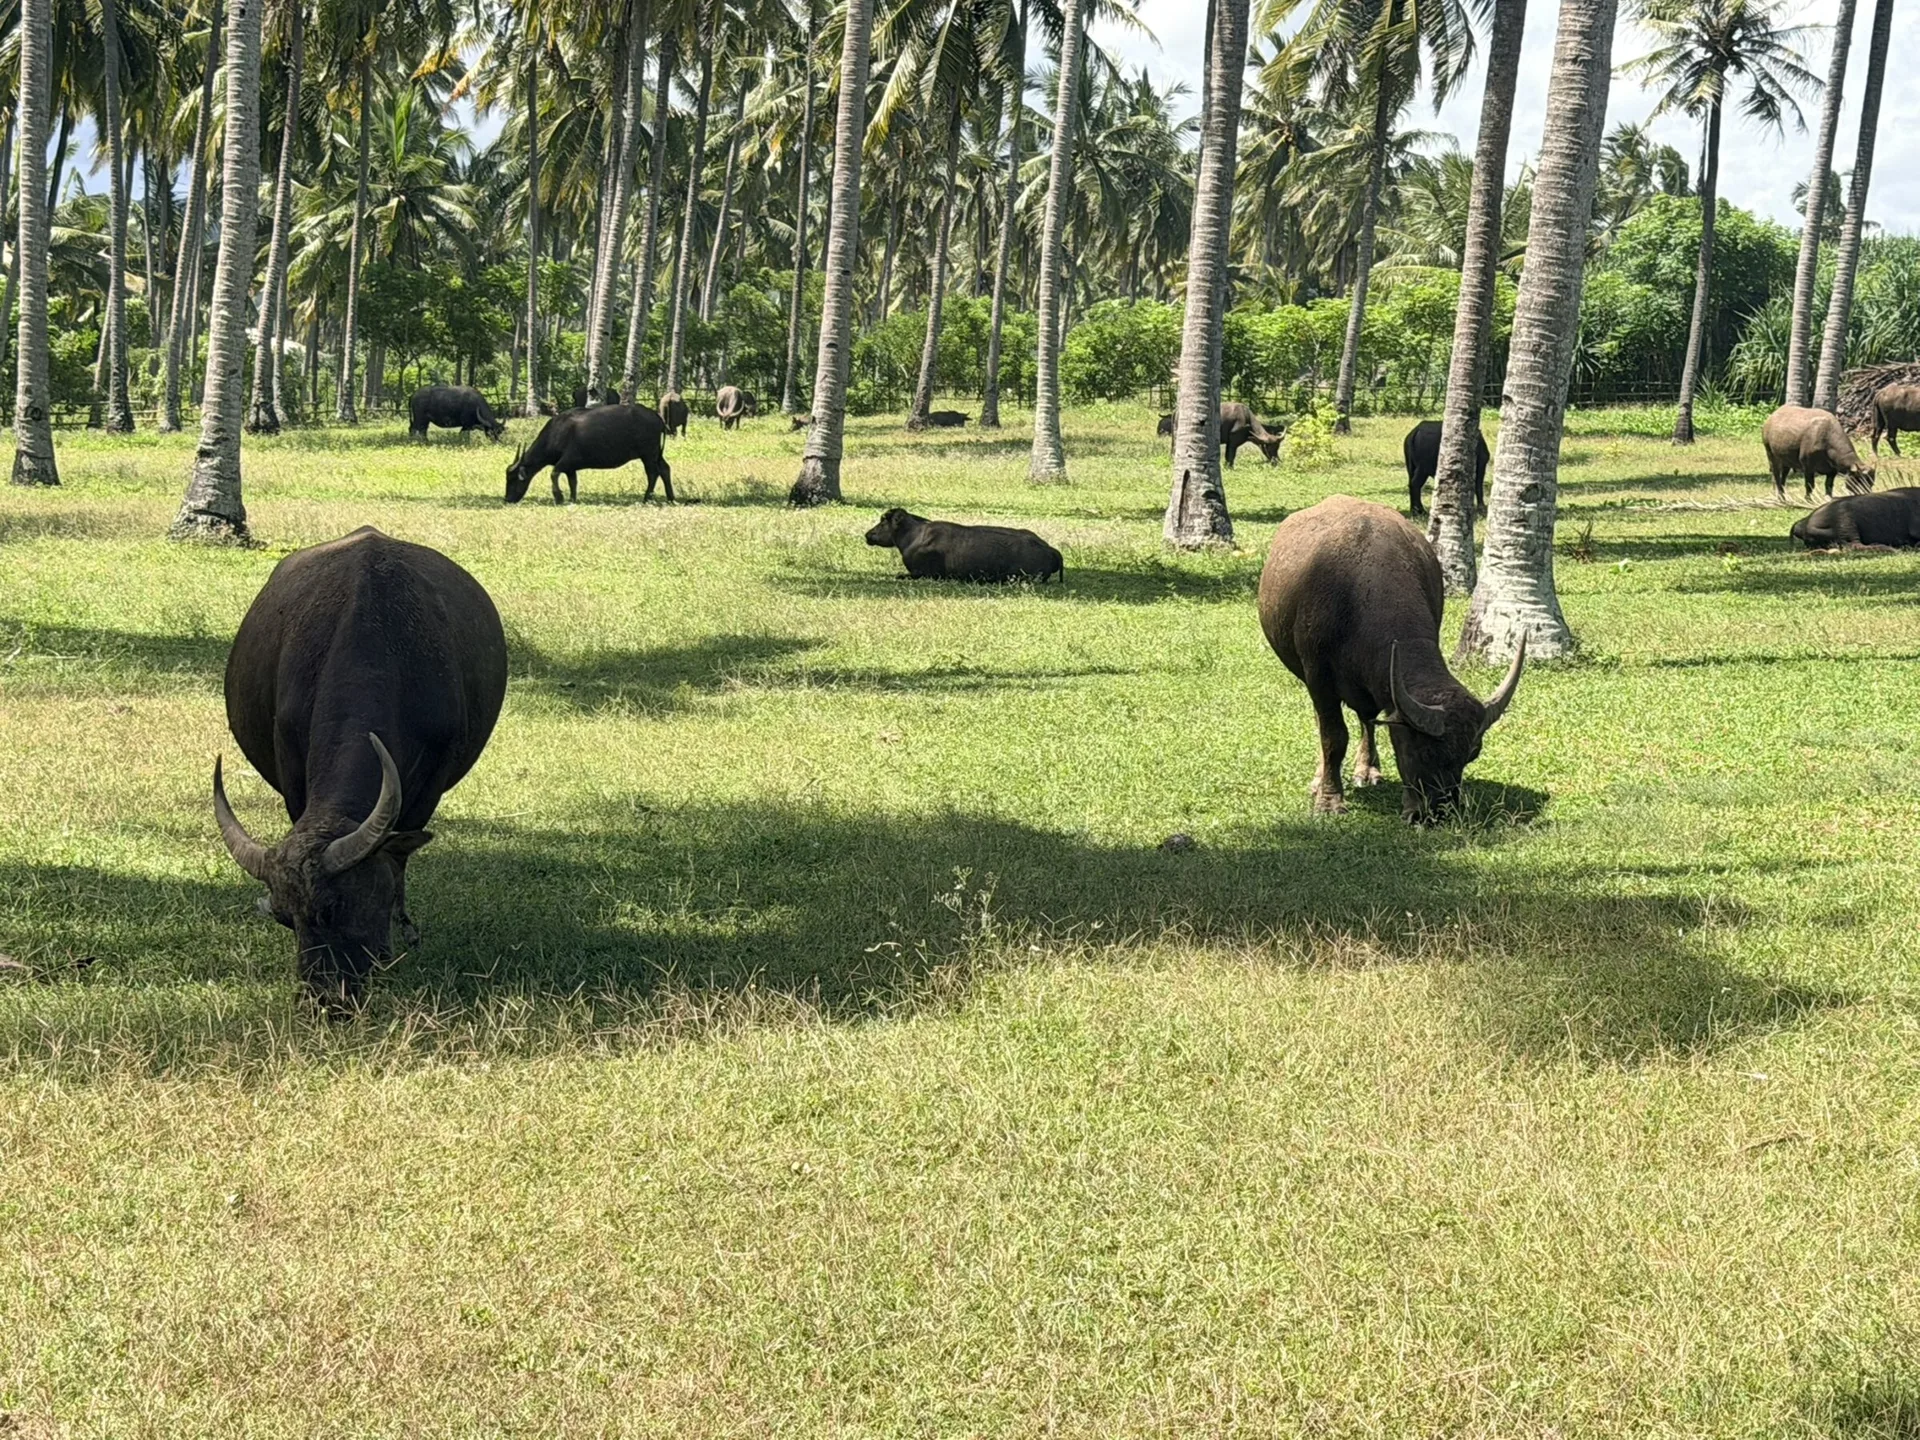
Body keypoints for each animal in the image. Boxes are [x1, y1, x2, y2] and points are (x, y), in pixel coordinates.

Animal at [506, 403, 674, 504]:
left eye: (512, 479)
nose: (507, 499)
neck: (556, 433)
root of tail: (657, 417)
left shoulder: (568, 461)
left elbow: (553, 473)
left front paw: (559, 497)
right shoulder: (570, 467)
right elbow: (573, 482)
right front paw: (572, 499)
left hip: (648, 454)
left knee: (653, 473)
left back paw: (647, 498)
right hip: (656, 454)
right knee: (665, 469)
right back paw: (670, 497)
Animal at [1257, 496, 1524, 823]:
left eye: (1472, 752)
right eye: (1423, 752)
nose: (1438, 813)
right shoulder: (1318, 677)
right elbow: (1333, 737)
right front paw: (1329, 800)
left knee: (1366, 719)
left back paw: (1367, 769)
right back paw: (1321, 778)